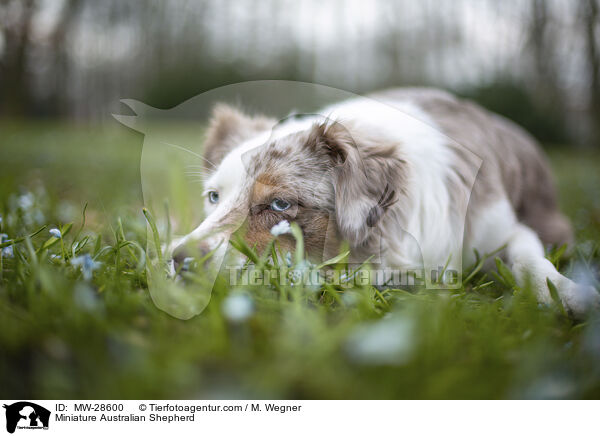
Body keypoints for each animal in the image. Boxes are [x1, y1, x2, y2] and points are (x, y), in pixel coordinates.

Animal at [170, 87, 600, 316]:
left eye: (280, 205)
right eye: (213, 197)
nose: (179, 259)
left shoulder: (501, 227)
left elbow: (530, 259)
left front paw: (565, 293)